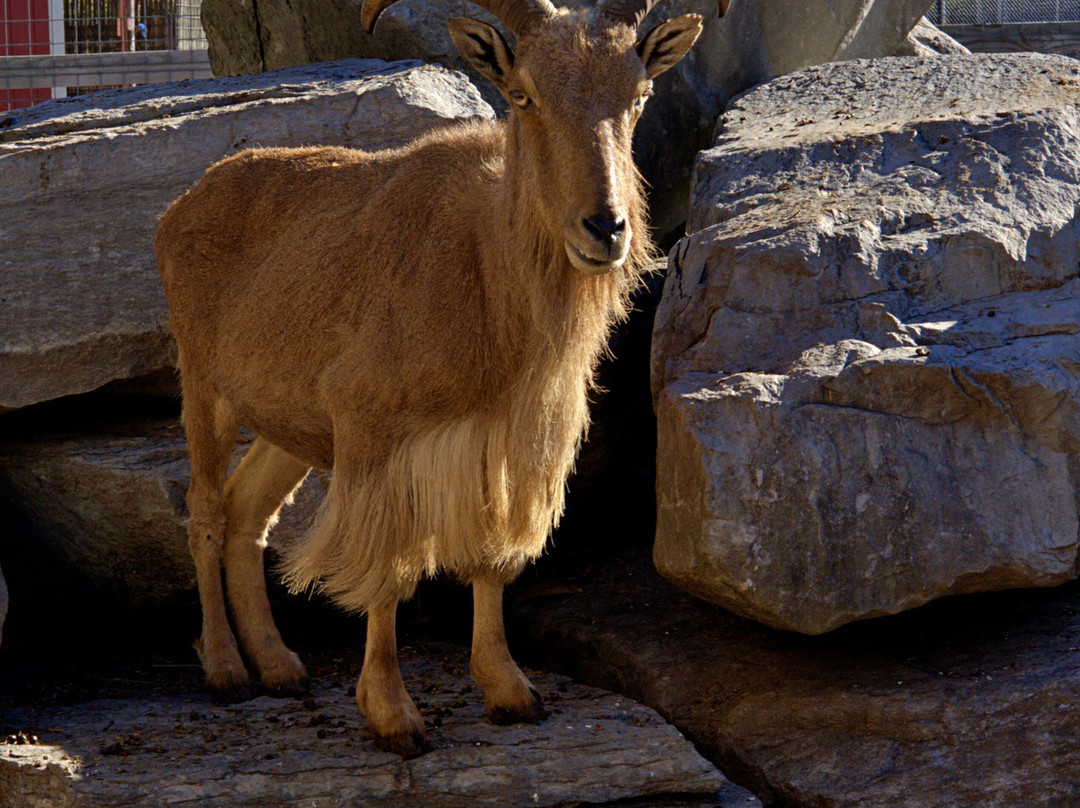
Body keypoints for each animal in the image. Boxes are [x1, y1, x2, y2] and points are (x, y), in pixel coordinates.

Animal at [155, 0, 715, 757]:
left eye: (637, 98)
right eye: (523, 95)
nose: (605, 227)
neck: (483, 261)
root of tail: (180, 207)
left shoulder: (503, 442)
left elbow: (490, 558)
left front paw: (510, 691)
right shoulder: (372, 432)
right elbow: (388, 570)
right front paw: (394, 716)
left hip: (291, 425)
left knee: (250, 514)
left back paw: (279, 666)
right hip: (203, 387)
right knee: (208, 512)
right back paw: (225, 669)